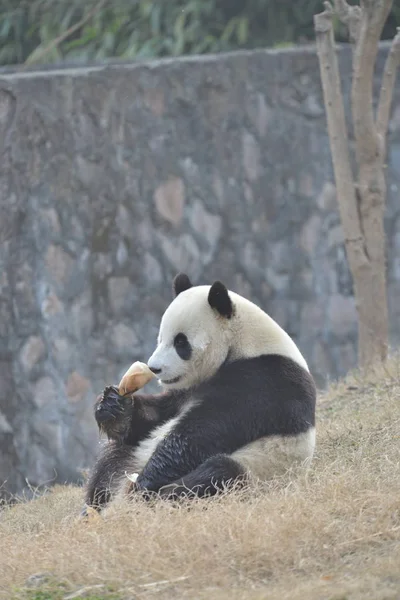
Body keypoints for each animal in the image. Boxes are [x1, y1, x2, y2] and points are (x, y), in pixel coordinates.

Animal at [84, 274, 316, 510]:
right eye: (161, 338)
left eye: (180, 342)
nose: (154, 368)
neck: (242, 343)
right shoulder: (187, 388)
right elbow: (157, 415)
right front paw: (114, 406)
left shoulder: (262, 380)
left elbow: (202, 432)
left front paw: (146, 481)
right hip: (134, 455)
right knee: (112, 459)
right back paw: (95, 509)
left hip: (258, 468)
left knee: (217, 473)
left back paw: (153, 499)